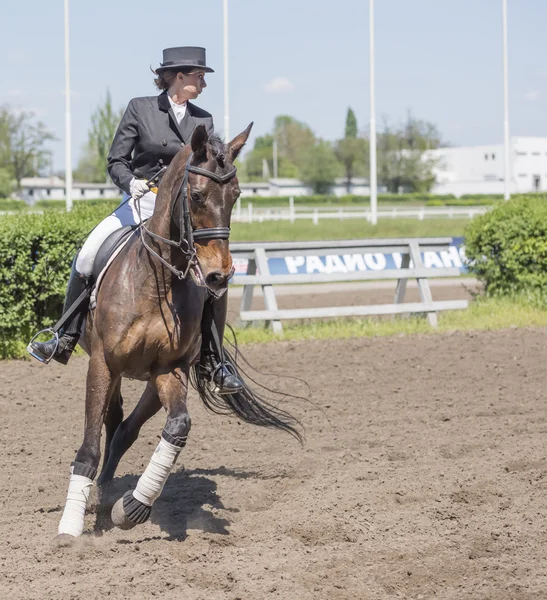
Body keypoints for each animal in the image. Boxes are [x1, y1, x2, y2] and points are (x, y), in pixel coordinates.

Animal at [56, 122, 300, 544]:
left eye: (236, 196)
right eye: (197, 195)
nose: (220, 275)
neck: (157, 282)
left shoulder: (169, 371)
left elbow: (178, 426)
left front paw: (133, 508)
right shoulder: (102, 364)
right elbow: (88, 446)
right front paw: (69, 530)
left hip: (151, 380)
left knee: (123, 430)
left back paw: (108, 501)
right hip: (114, 371)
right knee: (111, 426)